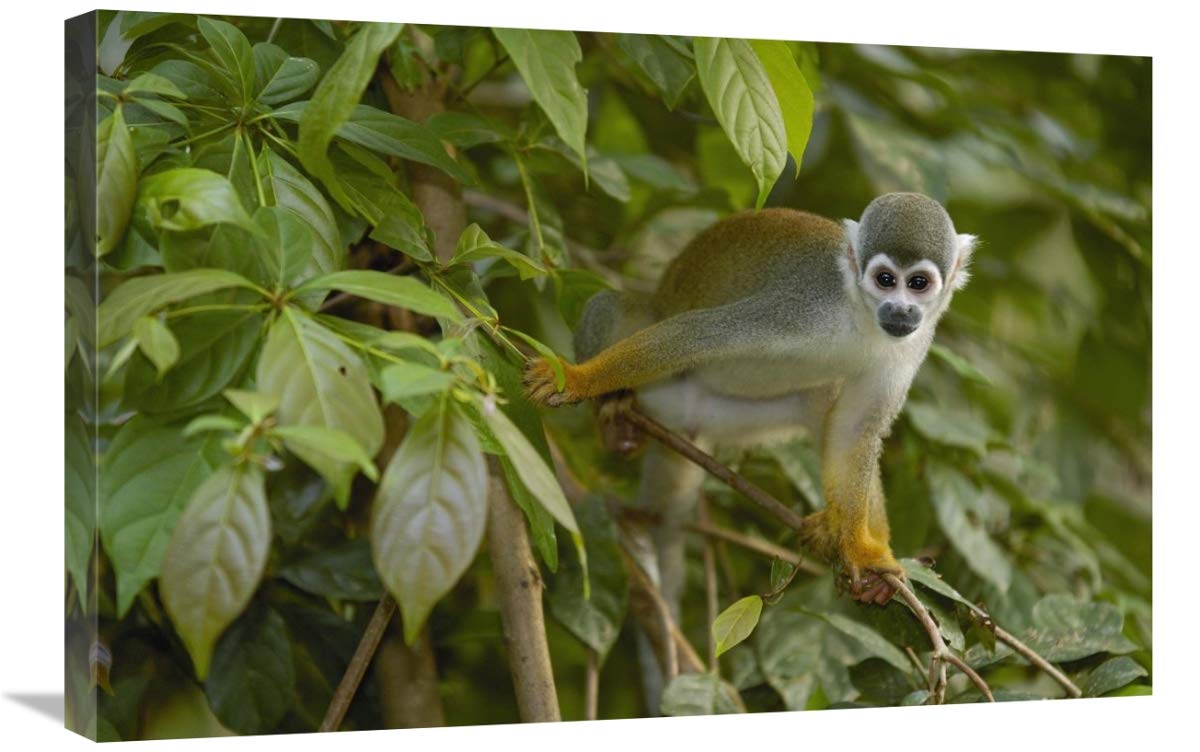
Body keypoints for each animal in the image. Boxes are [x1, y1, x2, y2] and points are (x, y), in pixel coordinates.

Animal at [523, 192, 976, 683]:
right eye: (886, 279)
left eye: (918, 283)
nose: (901, 309)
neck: (861, 315)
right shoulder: (802, 307)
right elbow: (698, 333)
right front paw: (575, 379)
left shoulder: (911, 345)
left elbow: (855, 429)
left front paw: (863, 550)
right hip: (664, 389)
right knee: (615, 305)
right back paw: (614, 416)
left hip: (729, 417)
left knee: (823, 406)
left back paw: (835, 529)